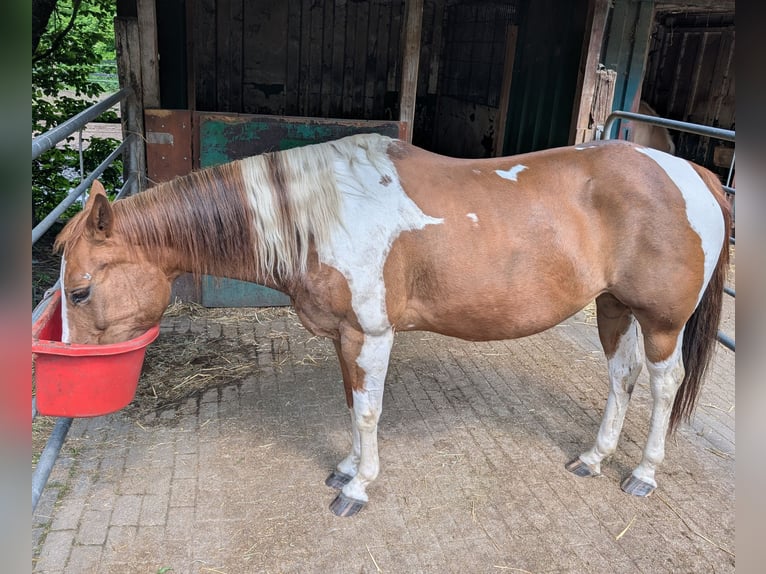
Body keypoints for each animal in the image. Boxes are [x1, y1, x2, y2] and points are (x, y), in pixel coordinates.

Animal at [54, 133, 730, 517]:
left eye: (81, 290)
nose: (70, 390)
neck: (320, 210)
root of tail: (691, 173)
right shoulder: (343, 338)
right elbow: (351, 404)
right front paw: (346, 468)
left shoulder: (370, 335)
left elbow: (368, 412)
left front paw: (357, 489)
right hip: (613, 308)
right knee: (622, 376)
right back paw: (593, 456)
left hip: (662, 321)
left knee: (663, 386)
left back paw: (642, 473)